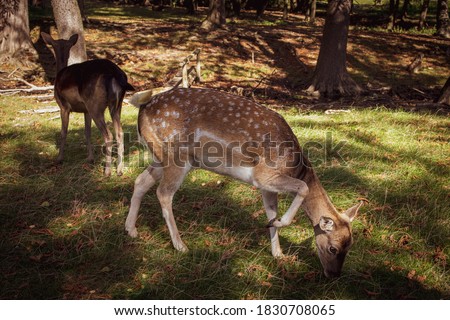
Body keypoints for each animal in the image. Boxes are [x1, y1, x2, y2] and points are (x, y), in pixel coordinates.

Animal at [41, 32, 134, 176]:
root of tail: (115, 75)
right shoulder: (85, 110)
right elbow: (87, 132)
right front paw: (90, 158)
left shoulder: (63, 106)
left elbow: (63, 132)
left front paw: (59, 158)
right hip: (116, 105)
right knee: (120, 133)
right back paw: (119, 170)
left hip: (95, 105)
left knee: (108, 135)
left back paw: (107, 172)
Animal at [125, 88, 364, 278]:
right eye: (333, 248)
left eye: (350, 246)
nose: (334, 275)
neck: (296, 165)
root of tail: (142, 105)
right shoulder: (263, 175)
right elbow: (302, 188)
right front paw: (280, 227)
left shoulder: (267, 187)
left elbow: (270, 211)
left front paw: (278, 253)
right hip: (176, 157)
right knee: (163, 193)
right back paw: (180, 245)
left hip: (160, 156)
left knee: (141, 180)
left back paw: (131, 229)